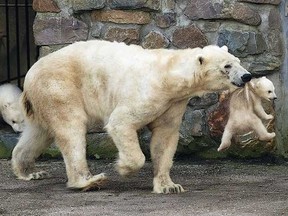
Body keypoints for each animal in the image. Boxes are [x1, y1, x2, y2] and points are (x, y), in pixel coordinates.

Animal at [11, 39, 250, 193]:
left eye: (238, 60)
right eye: (227, 65)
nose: (247, 76)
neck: (170, 75)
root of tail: (29, 75)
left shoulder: (173, 103)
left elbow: (165, 138)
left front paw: (169, 186)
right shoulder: (149, 93)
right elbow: (121, 122)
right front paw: (123, 168)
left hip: (43, 99)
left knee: (39, 133)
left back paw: (29, 171)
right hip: (59, 87)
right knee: (71, 129)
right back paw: (88, 181)